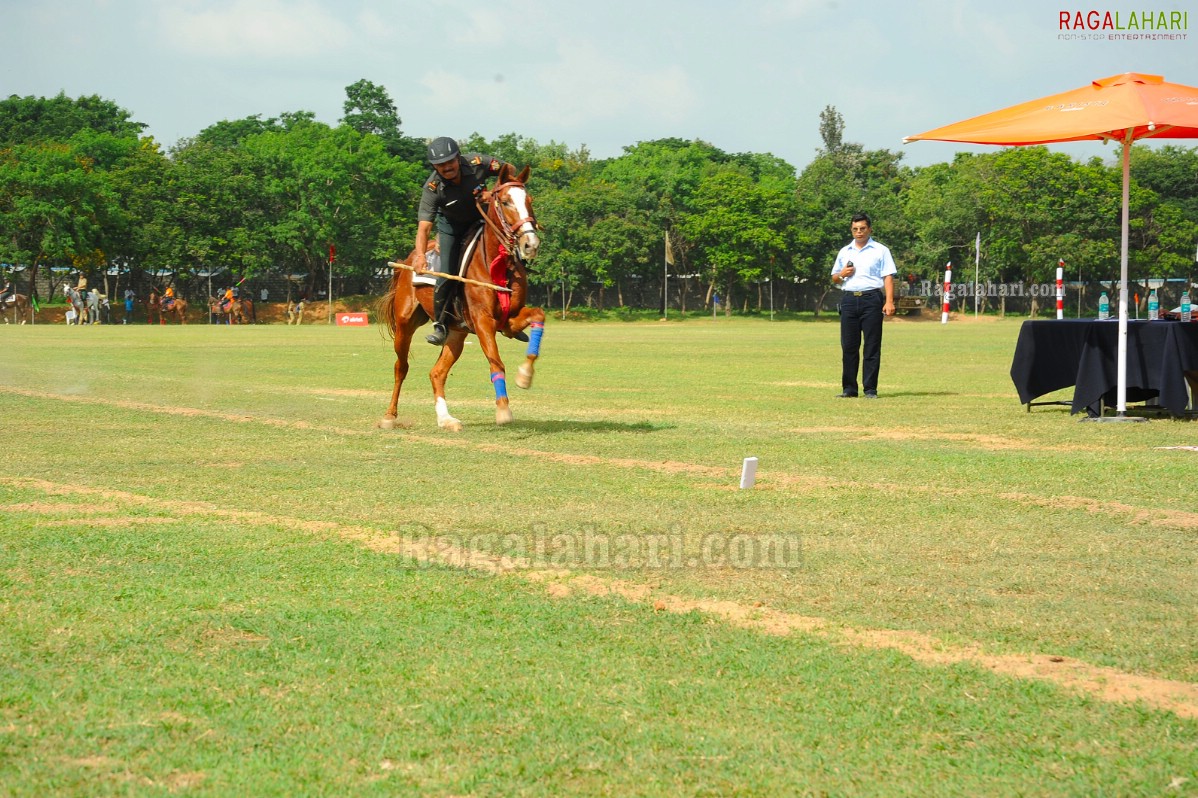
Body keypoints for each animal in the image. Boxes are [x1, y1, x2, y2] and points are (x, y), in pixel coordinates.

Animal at [376, 162, 546, 431]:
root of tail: (410, 259)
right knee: (401, 367)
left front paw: (525, 376)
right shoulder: (483, 320)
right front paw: (503, 410)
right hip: (405, 323)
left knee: (437, 373)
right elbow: (496, 362)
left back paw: (446, 419)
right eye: (506, 201)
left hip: (456, 333)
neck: (496, 263)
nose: (530, 244)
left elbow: (539, 316)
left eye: (529, 200)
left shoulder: (508, 320)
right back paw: (389, 416)